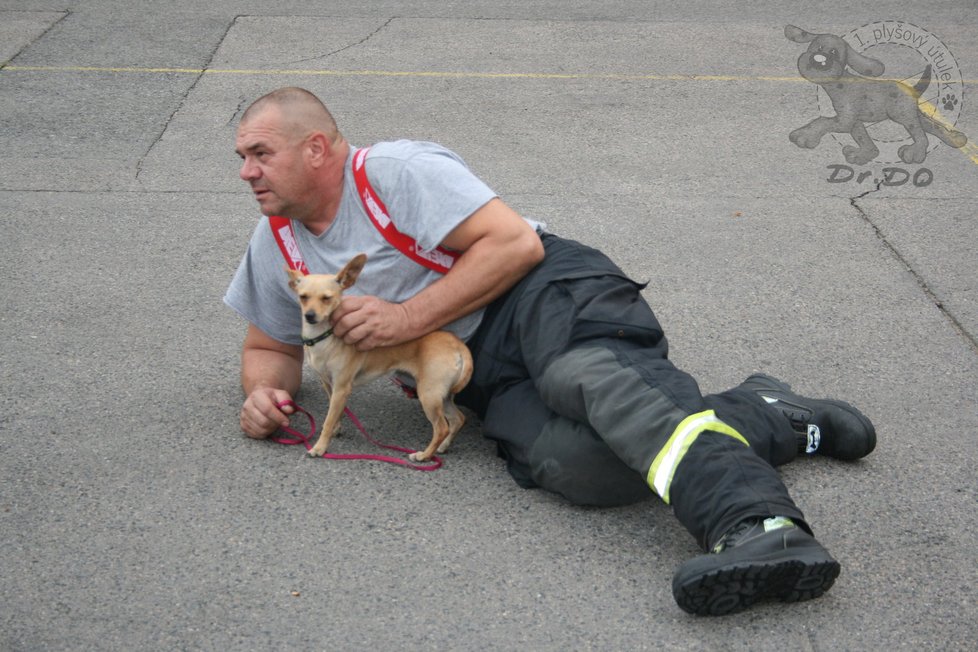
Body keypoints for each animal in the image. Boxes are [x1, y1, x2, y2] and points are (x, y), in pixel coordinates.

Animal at [286, 255, 472, 464]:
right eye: (303, 297)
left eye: (327, 298)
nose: (309, 316)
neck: (324, 337)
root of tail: (457, 344)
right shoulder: (330, 386)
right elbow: (336, 413)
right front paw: (336, 428)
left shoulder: (341, 388)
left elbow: (327, 420)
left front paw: (320, 447)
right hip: (443, 396)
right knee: (458, 419)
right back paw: (443, 446)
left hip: (429, 395)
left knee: (441, 427)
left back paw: (424, 455)